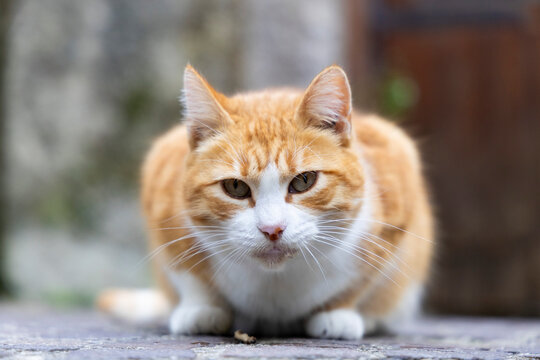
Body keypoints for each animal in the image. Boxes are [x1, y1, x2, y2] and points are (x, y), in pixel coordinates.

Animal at [97, 64, 434, 340]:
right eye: (235, 187)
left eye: (304, 181)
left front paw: (337, 313)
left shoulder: (395, 202)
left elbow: (361, 281)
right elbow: (189, 276)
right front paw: (201, 309)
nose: (272, 229)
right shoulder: (162, 196)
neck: (275, 283)